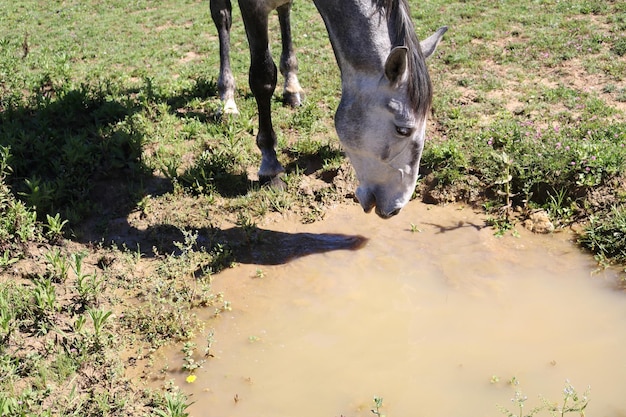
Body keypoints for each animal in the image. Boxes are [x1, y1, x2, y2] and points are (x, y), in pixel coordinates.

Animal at [210, 0, 444, 219]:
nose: (396, 208)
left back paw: (291, 87)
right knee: (222, 18)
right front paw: (270, 165)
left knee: (283, 9)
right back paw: (227, 99)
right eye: (403, 130)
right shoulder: (252, 8)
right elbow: (263, 77)